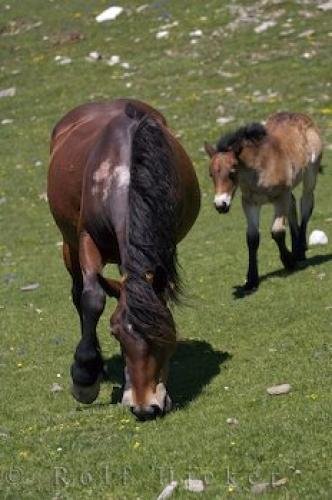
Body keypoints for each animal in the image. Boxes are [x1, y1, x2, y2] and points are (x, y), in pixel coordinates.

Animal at [47, 97, 200, 418]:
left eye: (166, 334)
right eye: (115, 332)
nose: (145, 408)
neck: (125, 175)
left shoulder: (163, 245)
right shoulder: (87, 239)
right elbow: (92, 298)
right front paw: (84, 378)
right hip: (68, 246)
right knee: (78, 292)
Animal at [204, 112, 322, 292]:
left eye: (232, 172)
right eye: (211, 174)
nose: (220, 205)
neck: (260, 169)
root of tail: (302, 117)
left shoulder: (280, 197)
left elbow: (277, 231)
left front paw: (288, 261)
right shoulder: (250, 203)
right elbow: (252, 238)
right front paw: (251, 280)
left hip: (310, 176)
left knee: (305, 205)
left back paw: (300, 251)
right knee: (293, 205)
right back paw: (296, 248)